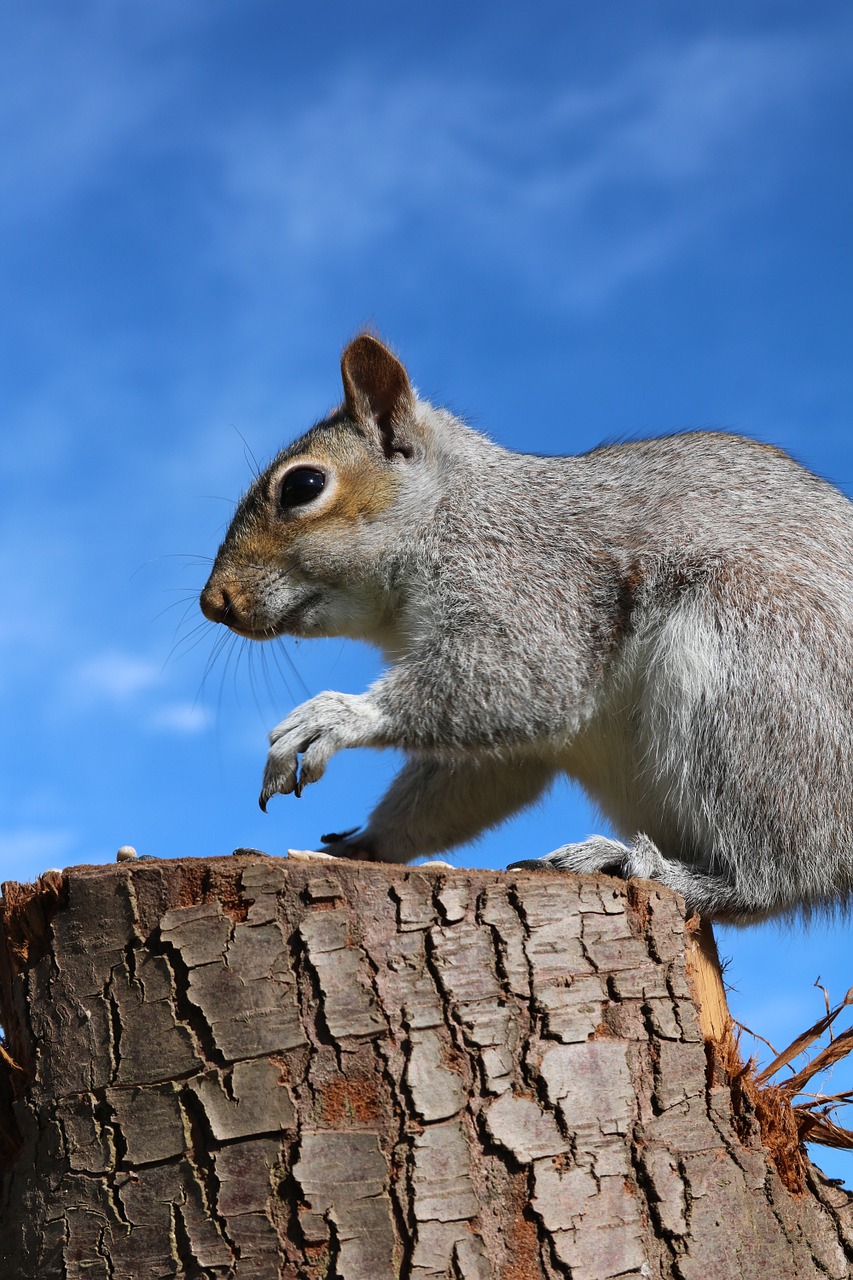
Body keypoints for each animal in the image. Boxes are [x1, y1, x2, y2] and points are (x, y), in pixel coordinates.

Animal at [201, 335, 850, 926]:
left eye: (303, 486)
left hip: (749, 681)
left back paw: (641, 864)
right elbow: (476, 773)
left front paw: (333, 718)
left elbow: (529, 677)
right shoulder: (495, 745)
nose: (214, 603)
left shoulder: (530, 582)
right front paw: (360, 845)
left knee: (773, 874)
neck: (448, 511)